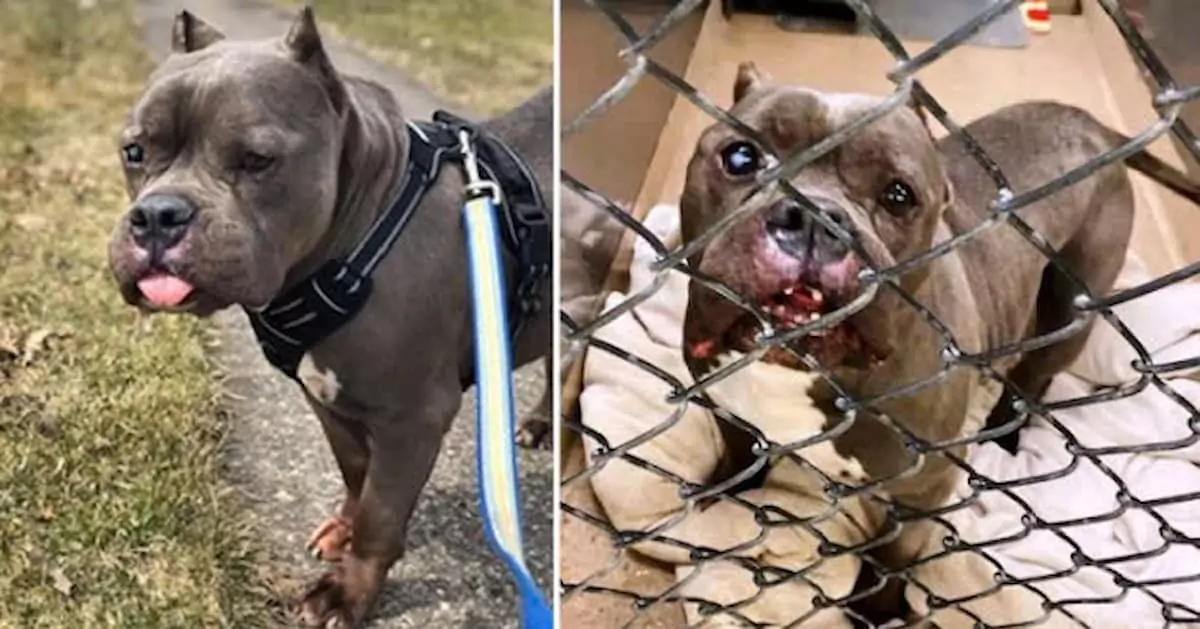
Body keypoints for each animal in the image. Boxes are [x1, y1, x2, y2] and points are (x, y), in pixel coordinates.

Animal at [108, 7, 552, 624]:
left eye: (258, 160)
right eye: (134, 151)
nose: (157, 215)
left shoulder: (414, 418)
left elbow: (381, 516)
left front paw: (348, 592)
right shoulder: (326, 397)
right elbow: (355, 473)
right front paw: (343, 530)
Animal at [681, 62, 1195, 619]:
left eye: (899, 195)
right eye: (740, 157)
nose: (814, 219)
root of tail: (1092, 124)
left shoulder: (922, 489)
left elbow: (894, 555)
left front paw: (878, 609)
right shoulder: (722, 402)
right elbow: (739, 448)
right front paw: (726, 488)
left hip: (1072, 307)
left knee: (1035, 375)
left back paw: (1004, 431)